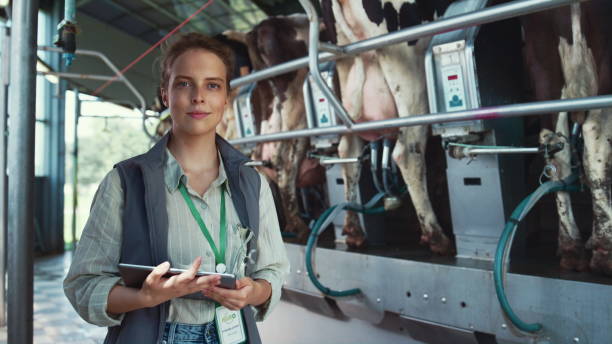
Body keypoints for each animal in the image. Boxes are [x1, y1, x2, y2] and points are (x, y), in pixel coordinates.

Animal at [320, 0, 454, 253]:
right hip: (408, 68)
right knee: (407, 153)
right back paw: (436, 237)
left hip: (347, 72)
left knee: (347, 152)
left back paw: (353, 231)